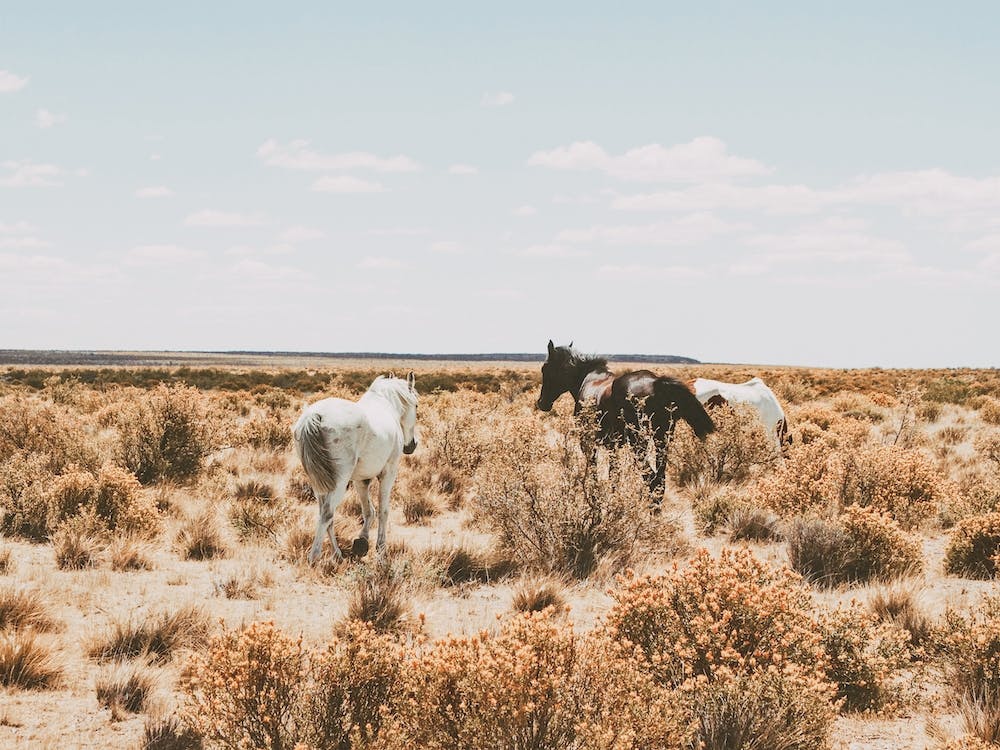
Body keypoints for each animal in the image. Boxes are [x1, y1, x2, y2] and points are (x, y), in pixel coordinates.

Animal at [292, 372, 418, 563]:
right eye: (416, 405)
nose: (412, 445)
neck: (387, 406)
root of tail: (314, 416)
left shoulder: (361, 479)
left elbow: (368, 510)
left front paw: (362, 542)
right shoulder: (388, 473)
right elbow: (383, 510)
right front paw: (381, 549)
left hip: (318, 483)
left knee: (325, 515)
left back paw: (337, 554)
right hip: (339, 482)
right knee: (327, 513)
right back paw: (314, 558)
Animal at [535, 341, 715, 500]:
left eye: (545, 368)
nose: (542, 403)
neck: (588, 378)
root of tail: (656, 383)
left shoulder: (588, 442)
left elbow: (594, 470)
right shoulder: (613, 446)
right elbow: (614, 475)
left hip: (639, 443)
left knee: (652, 480)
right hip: (662, 440)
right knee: (659, 481)